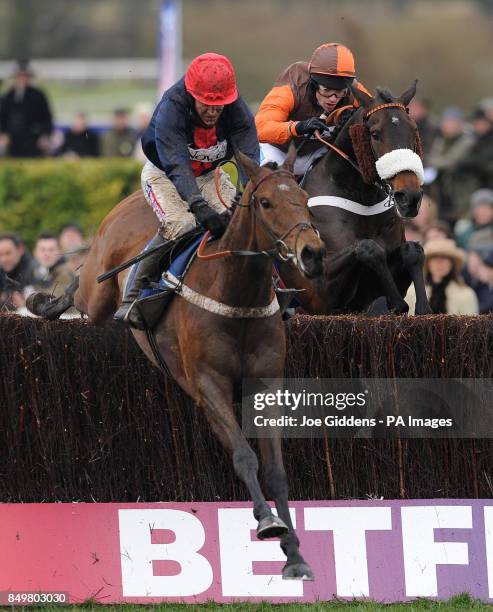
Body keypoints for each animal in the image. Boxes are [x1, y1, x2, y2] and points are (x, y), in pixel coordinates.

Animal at [28, 147, 324, 580]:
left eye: (304, 200)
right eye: (267, 203)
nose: (312, 253)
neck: (236, 292)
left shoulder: (266, 383)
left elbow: (274, 469)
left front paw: (295, 554)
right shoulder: (208, 383)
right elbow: (244, 455)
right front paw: (268, 522)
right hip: (100, 293)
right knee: (81, 286)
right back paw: (45, 302)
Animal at [280, 81, 430, 316]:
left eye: (414, 129)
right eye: (375, 134)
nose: (409, 197)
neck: (361, 200)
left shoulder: (366, 295)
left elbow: (412, 250)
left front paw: (423, 307)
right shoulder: (321, 296)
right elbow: (369, 248)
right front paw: (398, 303)